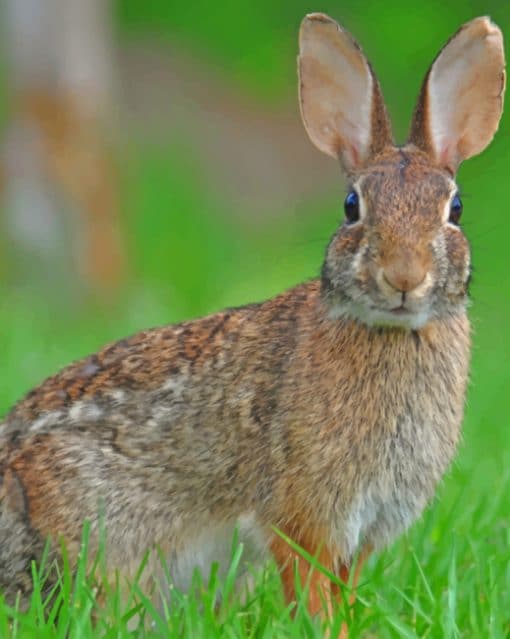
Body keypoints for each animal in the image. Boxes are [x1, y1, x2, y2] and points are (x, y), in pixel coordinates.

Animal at [0, 10, 504, 636]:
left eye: (454, 209)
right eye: (351, 207)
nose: (404, 277)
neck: (390, 334)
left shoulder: (362, 531)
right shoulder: (303, 515)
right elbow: (312, 592)